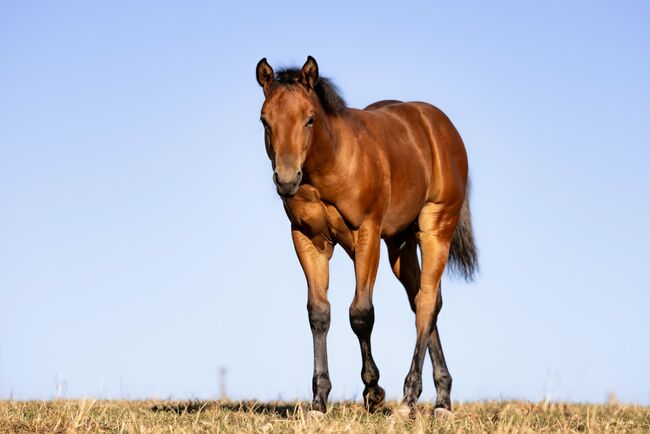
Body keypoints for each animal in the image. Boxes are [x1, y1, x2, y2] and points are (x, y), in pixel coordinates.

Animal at [255, 56, 477, 417]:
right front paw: (319, 401)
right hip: (400, 243)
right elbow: (319, 312)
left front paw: (373, 391)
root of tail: (441, 126)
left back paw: (410, 397)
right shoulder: (307, 239)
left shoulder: (367, 235)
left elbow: (361, 313)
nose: (286, 179)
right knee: (423, 300)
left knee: (427, 302)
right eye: (265, 120)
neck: (331, 166)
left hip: (436, 227)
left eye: (309, 119)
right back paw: (442, 397)